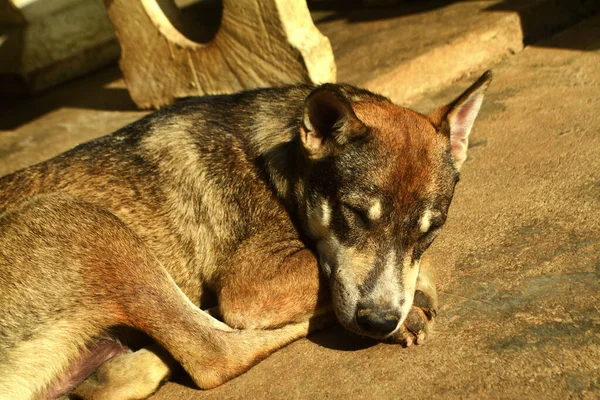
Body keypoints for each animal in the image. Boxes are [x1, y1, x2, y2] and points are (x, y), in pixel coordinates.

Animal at [0, 70, 490, 398]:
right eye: (353, 214)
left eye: (430, 230)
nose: (379, 321)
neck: (279, 162)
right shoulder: (252, 284)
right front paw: (412, 302)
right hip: (82, 220)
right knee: (215, 354)